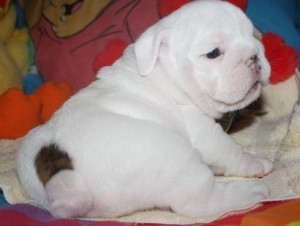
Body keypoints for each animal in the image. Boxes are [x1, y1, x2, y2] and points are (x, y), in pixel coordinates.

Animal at [17, 0, 274, 219]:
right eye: (213, 53)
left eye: (252, 35)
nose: (254, 55)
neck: (165, 73)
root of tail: (64, 177)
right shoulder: (202, 131)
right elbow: (230, 151)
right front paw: (255, 163)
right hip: (172, 155)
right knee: (200, 201)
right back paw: (252, 192)